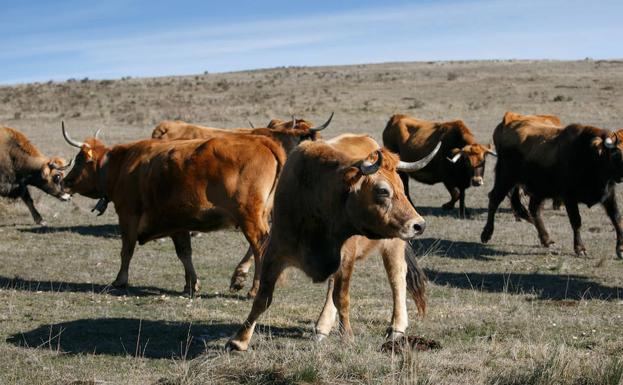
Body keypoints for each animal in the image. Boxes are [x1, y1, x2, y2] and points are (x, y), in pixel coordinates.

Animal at [60, 121, 288, 296]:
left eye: (79, 160)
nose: (64, 181)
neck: (122, 165)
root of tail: (262, 141)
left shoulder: (128, 214)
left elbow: (127, 249)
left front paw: (120, 279)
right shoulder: (179, 223)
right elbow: (184, 253)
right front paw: (191, 284)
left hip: (249, 216)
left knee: (259, 246)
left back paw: (254, 288)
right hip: (260, 215)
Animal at [227, 134, 442, 350]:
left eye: (401, 186)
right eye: (382, 190)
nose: (419, 225)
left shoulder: (345, 257)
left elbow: (342, 298)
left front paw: (347, 337)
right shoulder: (275, 251)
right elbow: (263, 297)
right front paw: (239, 340)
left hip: (393, 244)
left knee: (396, 277)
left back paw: (396, 327)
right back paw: (322, 327)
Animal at [482, 111, 623, 258]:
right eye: (616, 154)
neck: (590, 156)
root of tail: (509, 120)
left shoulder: (609, 194)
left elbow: (616, 218)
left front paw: (620, 248)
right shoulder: (569, 197)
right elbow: (576, 222)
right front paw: (580, 248)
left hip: (537, 189)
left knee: (534, 210)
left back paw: (546, 239)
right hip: (505, 178)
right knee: (494, 199)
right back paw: (486, 234)